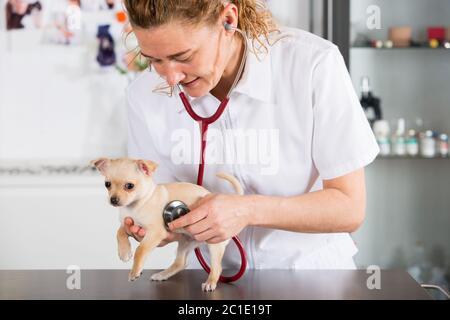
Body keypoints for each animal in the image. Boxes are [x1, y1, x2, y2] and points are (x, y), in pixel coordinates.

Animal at [91, 158, 244, 292]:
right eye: (107, 184)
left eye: (129, 186)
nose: (113, 200)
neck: (137, 205)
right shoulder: (128, 224)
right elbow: (119, 232)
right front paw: (124, 252)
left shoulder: (155, 233)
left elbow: (141, 249)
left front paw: (135, 271)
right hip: (185, 242)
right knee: (181, 263)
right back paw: (162, 275)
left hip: (214, 243)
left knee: (217, 267)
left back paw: (210, 282)